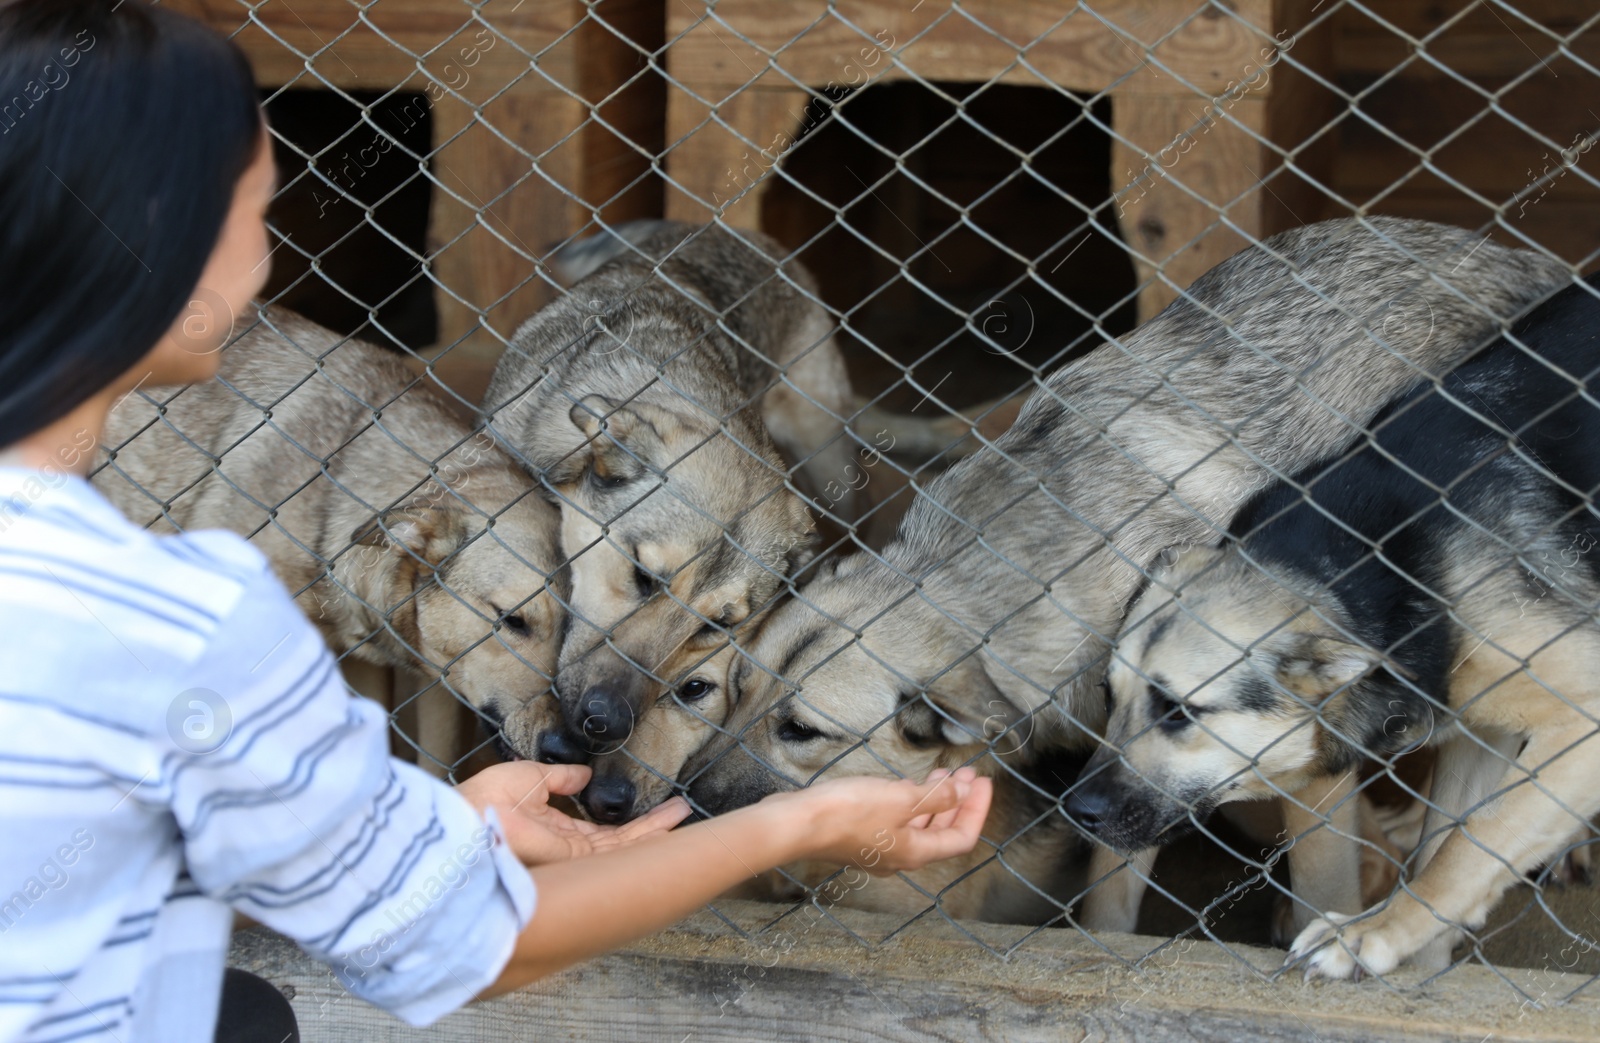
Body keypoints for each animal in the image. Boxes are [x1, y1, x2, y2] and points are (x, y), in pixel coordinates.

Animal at [681, 215, 1568, 934]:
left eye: (801, 731)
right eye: (736, 688)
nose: (683, 794)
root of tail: (1528, 258)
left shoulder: (1291, 757)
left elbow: (1322, 879)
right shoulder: (1121, 766)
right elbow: (1108, 896)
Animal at [1075, 273, 1600, 972]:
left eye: (1180, 712)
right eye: (1110, 696)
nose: (1076, 810)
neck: (1385, 569)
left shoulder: (1584, 715)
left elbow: (1469, 847)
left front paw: (1372, 932)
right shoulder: (1480, 725)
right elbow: (1448, 840)